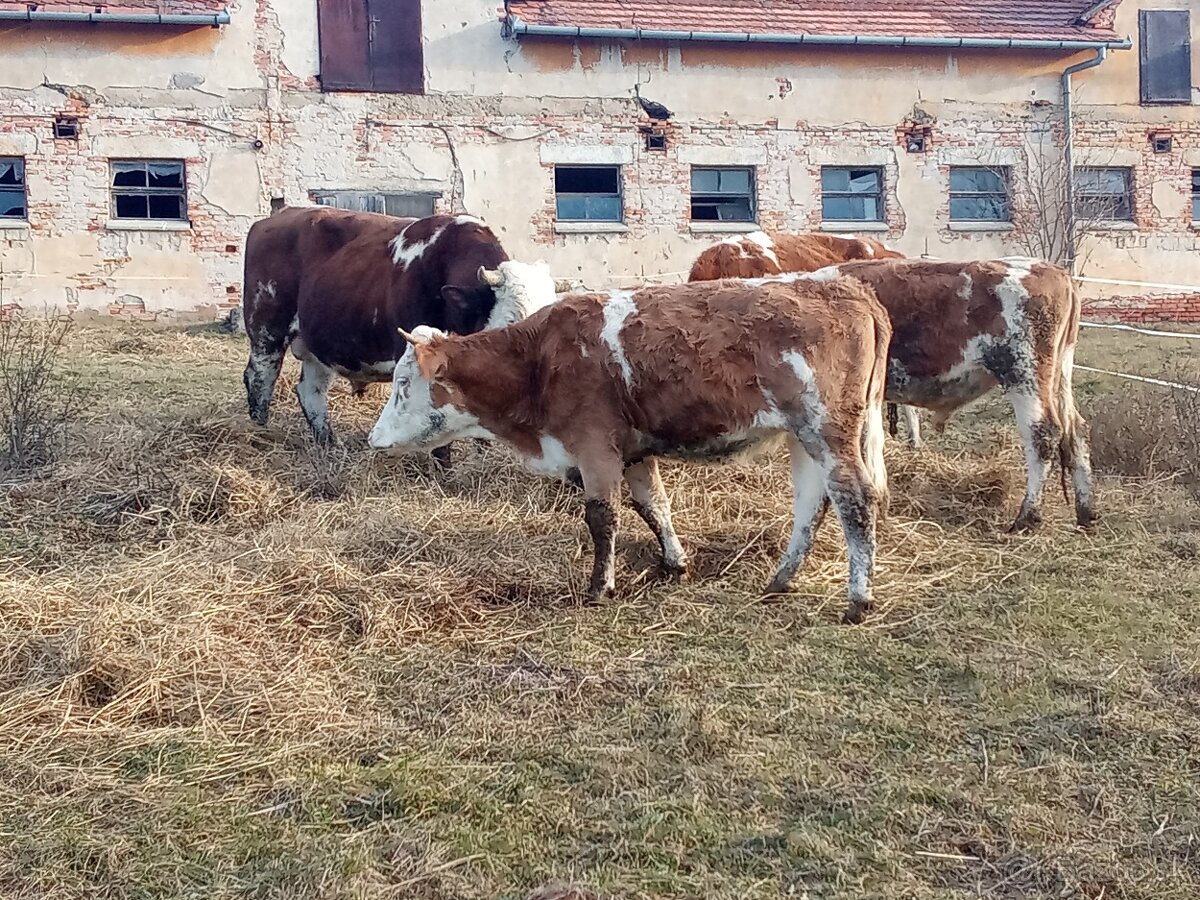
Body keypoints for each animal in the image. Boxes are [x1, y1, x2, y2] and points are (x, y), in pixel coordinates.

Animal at [243, 205, 520, 444]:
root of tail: (278, 215)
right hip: (266, 330)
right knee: (259, 376)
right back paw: (259, 431)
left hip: (318, 344)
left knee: (310, 391)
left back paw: (329, 445)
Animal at [364, 264, 892, 624]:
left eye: (403, 384)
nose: (374, 439)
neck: (537, 361)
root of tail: (846, 289)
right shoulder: (633, 451)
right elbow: (654, 505)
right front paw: (674, 563)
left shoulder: (594, 446)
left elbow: (603, 517)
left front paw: (600, 587)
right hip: (804, 437)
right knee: (812, 503)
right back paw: (780, 581)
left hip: (829, 429)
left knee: (855, 499)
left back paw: (858, 600)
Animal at [768, 256, 1099, 532]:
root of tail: (1054, 270)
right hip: (1059, 375)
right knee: (1076, 430)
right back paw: (1086, 512)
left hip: (1025, 375)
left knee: (1043, 434)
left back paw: (1026, 518)